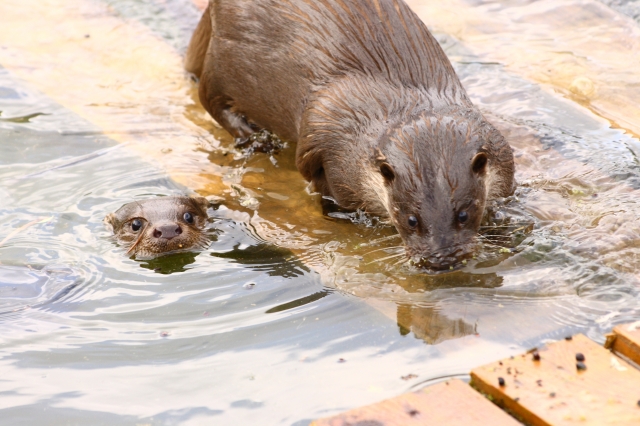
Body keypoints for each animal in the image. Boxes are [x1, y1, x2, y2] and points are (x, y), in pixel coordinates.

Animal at [185, 0, 516, 270]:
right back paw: (254, 138)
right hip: (223, 59)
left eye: (463, 215)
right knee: (209, 97)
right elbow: (322, 188)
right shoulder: (329, 150)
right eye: (411, 220)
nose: (442, 259)